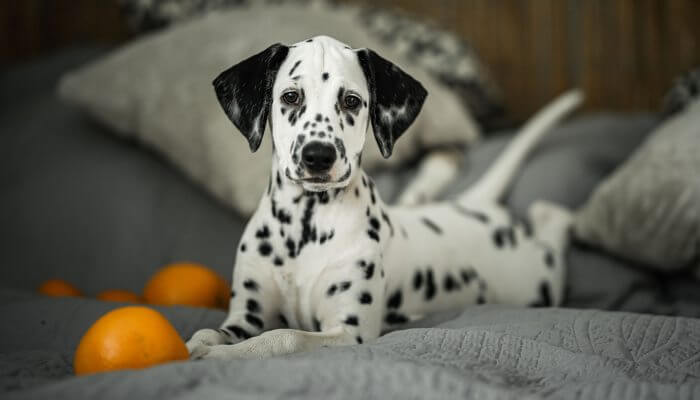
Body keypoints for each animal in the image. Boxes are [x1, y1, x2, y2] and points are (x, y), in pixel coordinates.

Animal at [187, 34, 584, 360]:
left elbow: (286, 336)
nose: (318, 156)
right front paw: (198, 345)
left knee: (553, 225)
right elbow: (212, 330)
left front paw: (223, 356)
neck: (305, 225)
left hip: (535, 281)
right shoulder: (247, 315)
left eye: (351, 101)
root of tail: (473, 206)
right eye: (290, 96)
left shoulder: (349, 332)